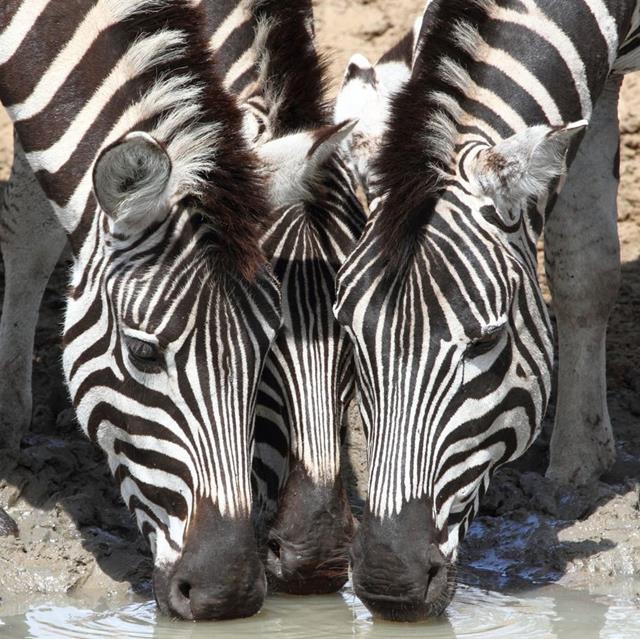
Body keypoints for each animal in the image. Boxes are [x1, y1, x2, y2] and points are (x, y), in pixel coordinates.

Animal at [334, 0, 640, 621]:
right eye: (349, 337)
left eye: (483, 342)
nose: (388, 582)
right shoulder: (597, 80)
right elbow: (583, 265)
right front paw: (582, 460)